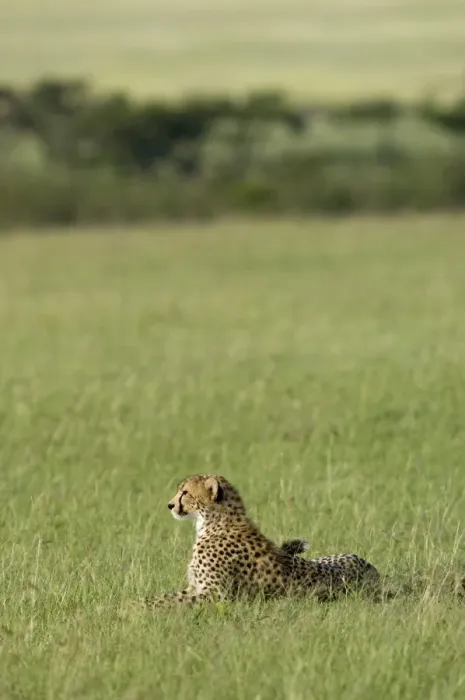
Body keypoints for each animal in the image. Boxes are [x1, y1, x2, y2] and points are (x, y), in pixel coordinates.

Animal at [145, 474, 379, 607]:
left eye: (185, 492)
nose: (170, 505)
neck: (213, 522)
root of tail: (372, 570)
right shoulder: (195, 588)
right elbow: (162, 597)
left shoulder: (214, 595)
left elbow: (166, 602)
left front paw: (140, 608)